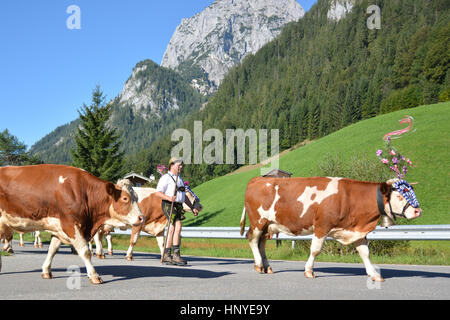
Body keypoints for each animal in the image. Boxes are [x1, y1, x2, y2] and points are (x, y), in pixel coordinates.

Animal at [0, 164, 144, 284]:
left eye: (137, 197)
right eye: (125, 198)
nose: (142, 217)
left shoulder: (59, 227)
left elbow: (52, 249)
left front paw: (46, 271)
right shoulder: (70, 225)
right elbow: (85, 251)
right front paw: (94, 276)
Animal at [241, 178, 424, 282]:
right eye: (399, 195)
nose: (418, 211)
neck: (349, 197)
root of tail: (256, 179)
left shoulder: (357, 231)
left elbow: (365, 253)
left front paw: (374, 274)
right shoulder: (322, 226)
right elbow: (315, 250)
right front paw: (309, 271)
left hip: (268, 225)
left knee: (261, 243)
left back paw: (267, 267)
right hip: (258, 221)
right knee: (252, 239)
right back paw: (258, 265)